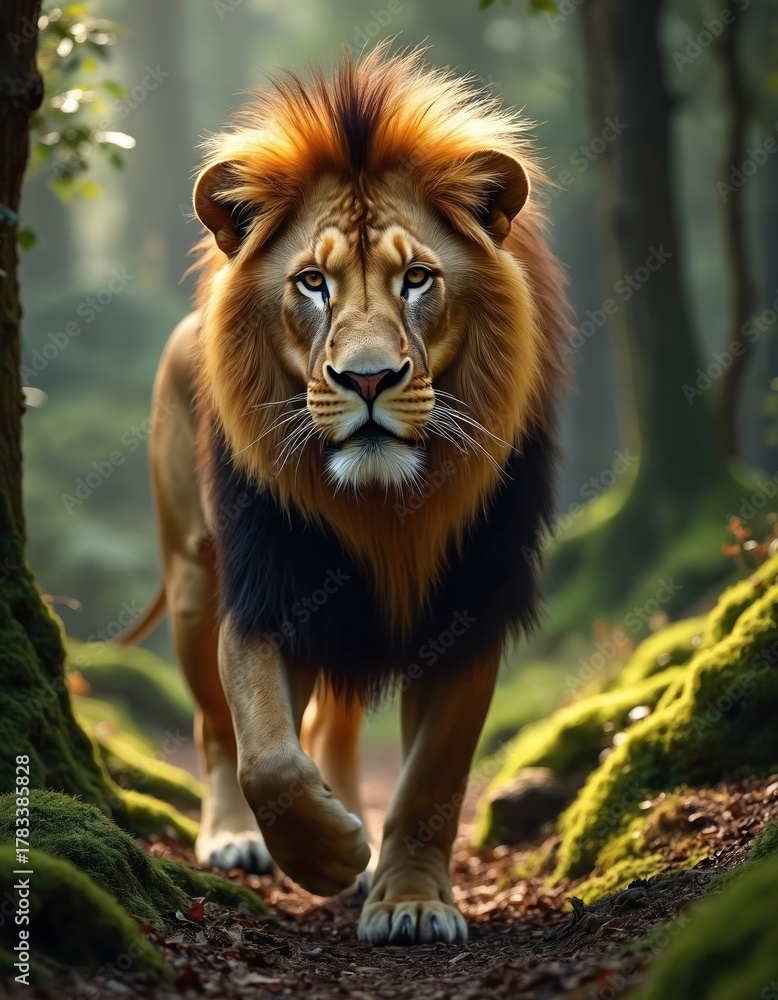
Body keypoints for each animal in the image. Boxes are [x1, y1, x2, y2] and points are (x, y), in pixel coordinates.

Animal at [120, 44, 569, 945]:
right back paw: (234, 838)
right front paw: (326, 853)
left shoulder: (473, 606)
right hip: (191, 579)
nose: (367, 379)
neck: (385, 510)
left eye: (418, 279)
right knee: (213, 727)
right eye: (313, 283)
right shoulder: (269, 587)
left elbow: (433, 780)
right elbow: (265, 754)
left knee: (334, 721)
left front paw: (409, 899)